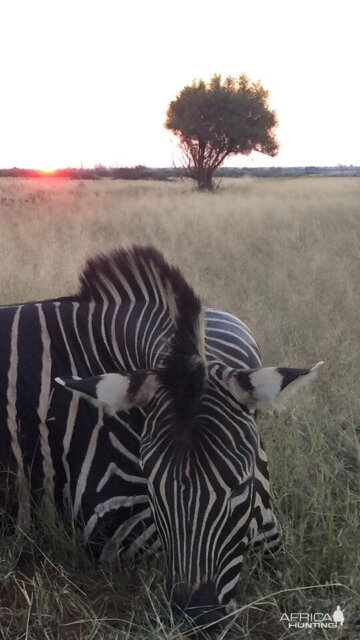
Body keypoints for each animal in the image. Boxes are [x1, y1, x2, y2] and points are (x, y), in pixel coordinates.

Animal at [0, 245, 324, 624]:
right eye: (154, 487)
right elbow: (264, 538)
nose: (197, 614)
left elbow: (269, 534)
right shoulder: (107, 522)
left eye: (240, 487)